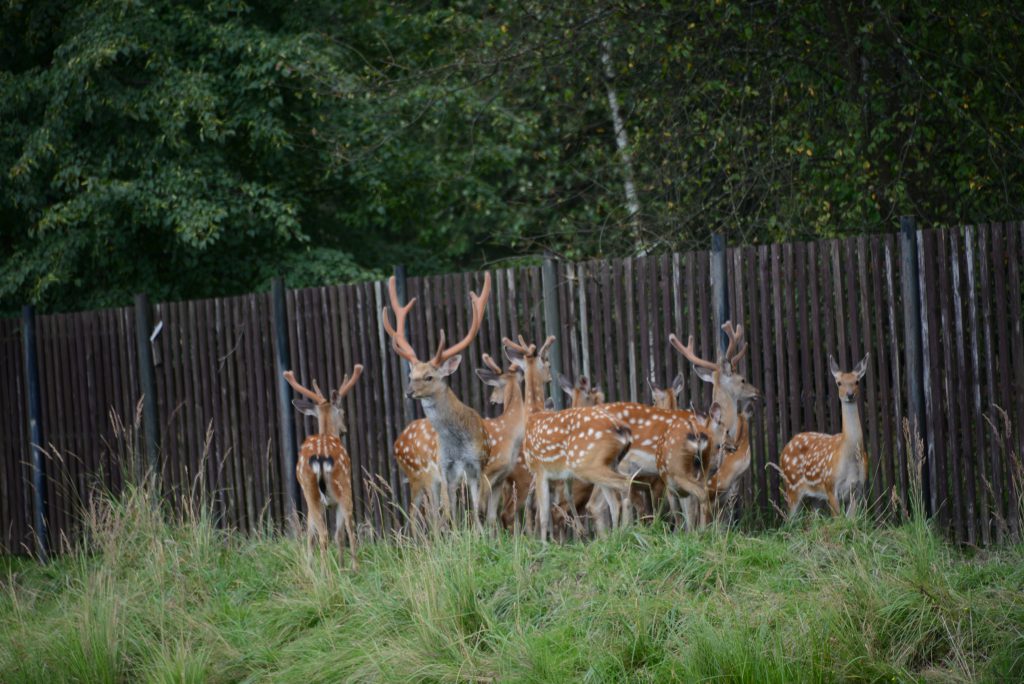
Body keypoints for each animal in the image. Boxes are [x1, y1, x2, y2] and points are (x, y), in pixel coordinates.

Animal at [284, 366, 364, 569]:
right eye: (343, 412)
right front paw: (342, 566)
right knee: (347, 530)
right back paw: (353, 568)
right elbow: (340, 535)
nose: (344, 430)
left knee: (319, 534)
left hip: (310, 491)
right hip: (343, 486)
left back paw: (323, 570)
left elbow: (311, 536)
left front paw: (311, 567)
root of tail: (321, 457)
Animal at [385, 272, 495, 528]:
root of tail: (397, 442)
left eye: (429, 376)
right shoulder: (444, 466)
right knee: (420, 515)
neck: (458, 444)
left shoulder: (478, 464)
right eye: (410, 375)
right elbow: (450, 512)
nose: (408, 392)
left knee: (430, 514)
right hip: (419, 474)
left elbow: (476, 511)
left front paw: (479, 534)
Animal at [503, 335, 630, 540]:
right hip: (609, 463)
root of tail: (622, 430)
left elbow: (543, 515)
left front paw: (544, 544)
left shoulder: (539, 469)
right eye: (547, 363)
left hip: (587, 464)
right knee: (613, 501)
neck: (532, 416)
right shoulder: (560, 475)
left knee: (624, 485)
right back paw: (617, 535)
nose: (550, 376)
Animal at [778, 356, 868, 516]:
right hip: (792, 487)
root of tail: (785, 449)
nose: (850, 394)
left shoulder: (857, 489)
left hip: (816, 497)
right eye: (839, 382)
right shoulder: (830, 486)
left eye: (857, 381)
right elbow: (838, 518)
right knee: (789, 519)